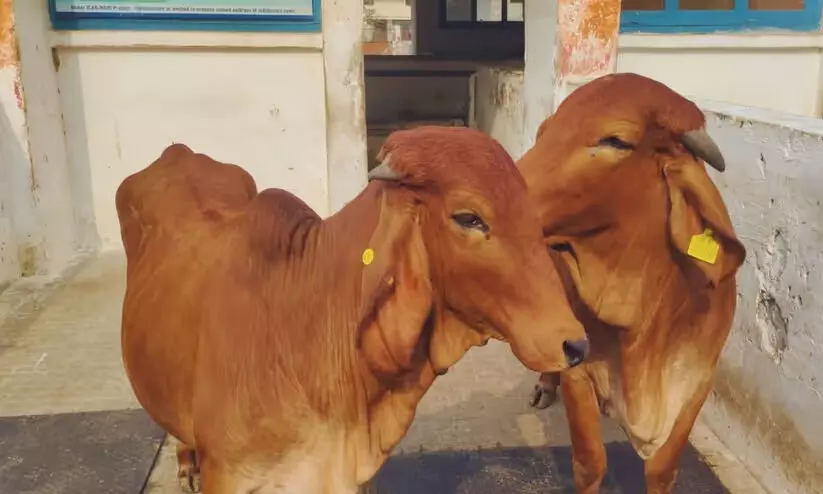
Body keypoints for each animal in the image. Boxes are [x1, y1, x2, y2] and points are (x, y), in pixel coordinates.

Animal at [518, 73, 747, 494]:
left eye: (616, 140)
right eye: (544, 133)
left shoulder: (697, 383)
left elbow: (662, 470)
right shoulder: (579, 373)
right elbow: (590, 462)